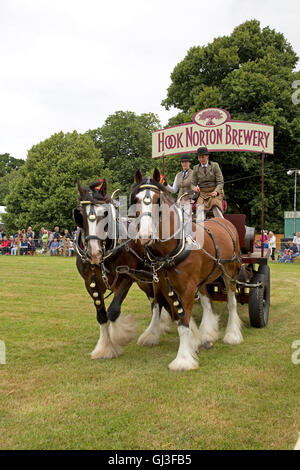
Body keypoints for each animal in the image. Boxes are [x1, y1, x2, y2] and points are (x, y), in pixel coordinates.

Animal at [73, 178, 171, 358]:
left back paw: (152, 333)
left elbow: (113, 311)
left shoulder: (126, 278)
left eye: (105, 213)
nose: (94, 253)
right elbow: (102, 316)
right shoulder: (90, 283)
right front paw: (104, 347)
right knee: (155, 300)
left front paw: (121, 336)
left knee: (157, 302)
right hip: (144, 279)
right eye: (80, 215)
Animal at [131, 169, 244, 370]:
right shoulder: (164, 286)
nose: (145, 236)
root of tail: (223, 221)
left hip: (229, 273)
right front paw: (194, 342)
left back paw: (232, 335)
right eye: (136, 199)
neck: (172, 249)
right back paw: (208, 333)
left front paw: (183, 359)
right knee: (207, 302)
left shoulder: (188, 288)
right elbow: (172, 314)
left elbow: (183, 322)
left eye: (157, 200)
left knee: (232, 303)